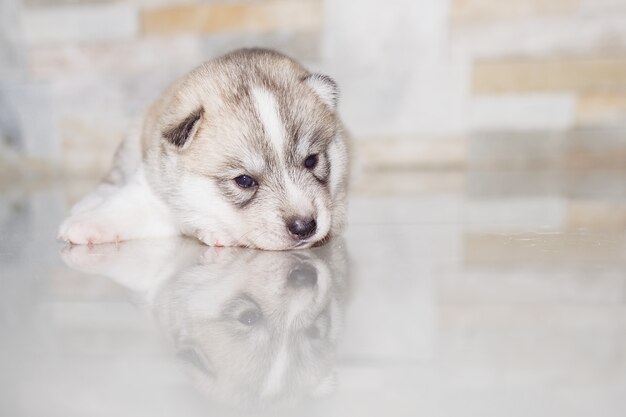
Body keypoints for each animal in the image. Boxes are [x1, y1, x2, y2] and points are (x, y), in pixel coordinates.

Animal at [57, 48, 352, 250]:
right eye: (244, 181)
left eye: (311, 161)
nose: (305, 227)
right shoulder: (152, 192)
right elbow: (120, 207)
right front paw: (84, 225)